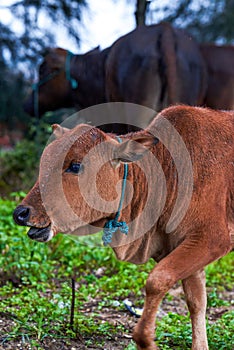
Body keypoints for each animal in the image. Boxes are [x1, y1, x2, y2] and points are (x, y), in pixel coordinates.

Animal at [13, 106, 233, 350]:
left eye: (75, 166)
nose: (21, 213)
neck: (169, 174)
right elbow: (196, 302)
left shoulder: (213, 239)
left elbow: (157, 280)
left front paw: (145, 339)